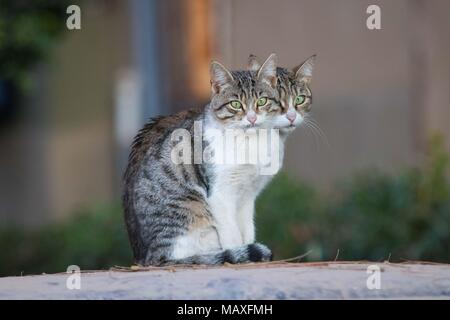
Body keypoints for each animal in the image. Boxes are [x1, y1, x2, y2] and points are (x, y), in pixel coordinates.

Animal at [123, 54, 284, 264]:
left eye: (262, 101)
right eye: (235, 104)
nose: (252, 118)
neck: (249, 142)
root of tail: (147, 256)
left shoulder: (248, 195)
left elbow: (247, 230)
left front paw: (248, 249)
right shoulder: (220, 193)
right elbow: (232, 235)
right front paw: (239, 254)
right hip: (189, 213)